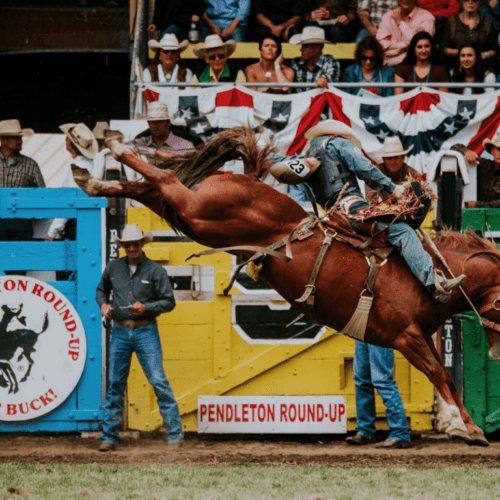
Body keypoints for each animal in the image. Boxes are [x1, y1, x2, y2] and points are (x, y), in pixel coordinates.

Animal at [71, 128, 500, 446]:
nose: (496, 351)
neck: (425, 272)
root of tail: (246, 178)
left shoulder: (419, 336)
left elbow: (442, 375)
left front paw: (460, 424)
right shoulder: (405, 336)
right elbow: (440, 373)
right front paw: (470, 428)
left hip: (198, 221)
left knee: (153, 191)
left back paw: (91, 179)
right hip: (204, 213)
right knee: (165, 179)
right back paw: (113, 148)